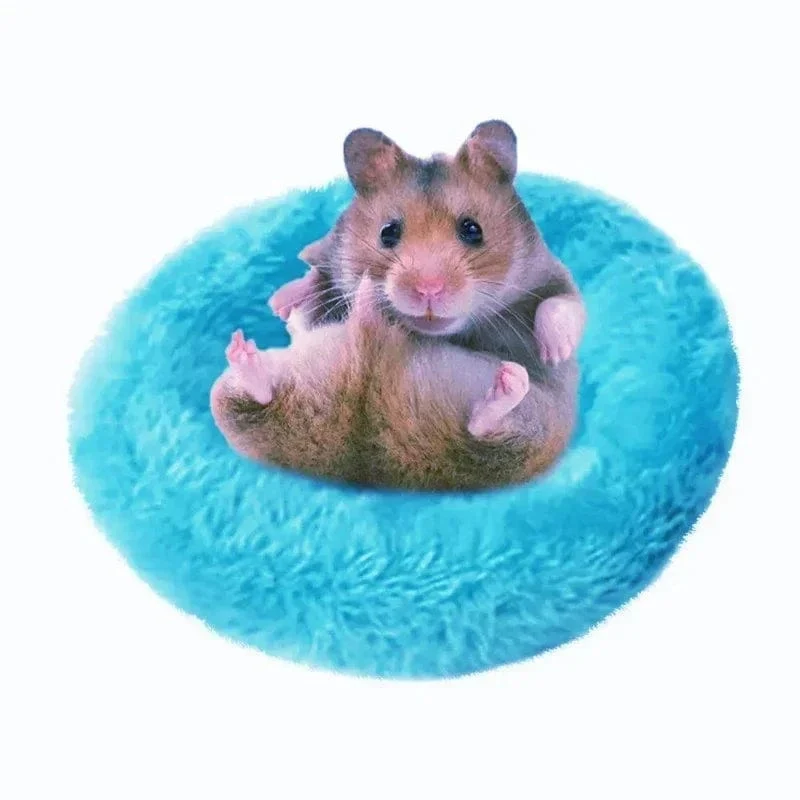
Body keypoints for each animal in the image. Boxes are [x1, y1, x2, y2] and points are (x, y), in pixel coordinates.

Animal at [268, 120, 586, 379]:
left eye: (473, 230)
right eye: (388, 232)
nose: (428, 290)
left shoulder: (550, 273)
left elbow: (560, 303)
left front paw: (555, 354)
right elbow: (318, 274)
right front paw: (280, 304)